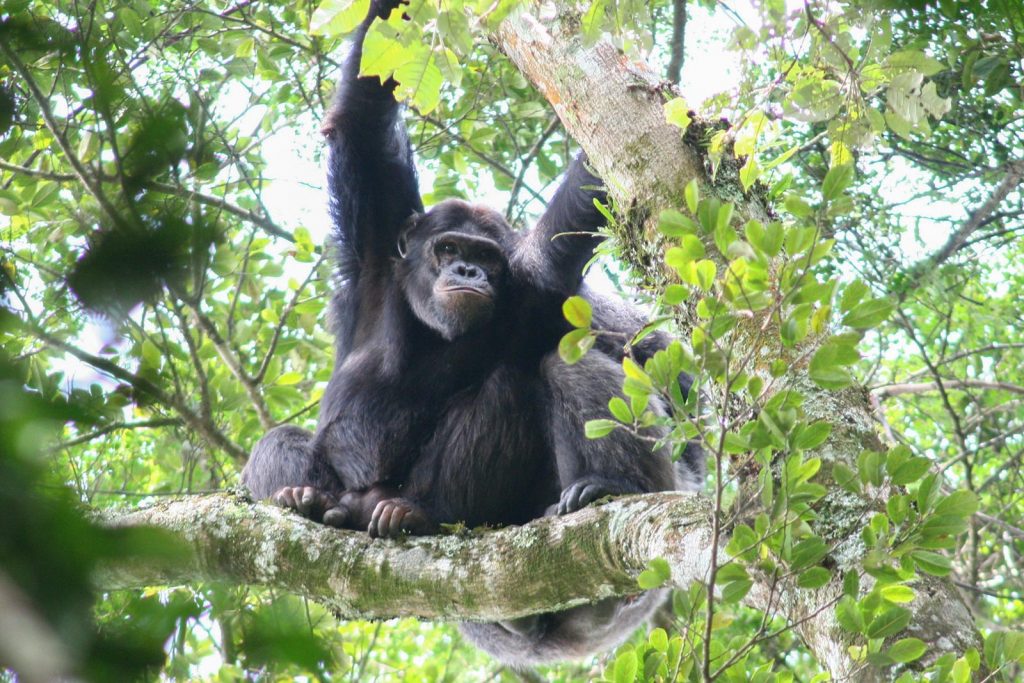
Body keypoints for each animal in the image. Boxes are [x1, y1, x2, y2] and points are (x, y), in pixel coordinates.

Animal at [240, 0, 704, 663]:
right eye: (450, 248)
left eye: (484, 257)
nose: (467, 272)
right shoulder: (374, 242)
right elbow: (362, 117)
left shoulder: (530, 291)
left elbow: (567, 245)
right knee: (278, 442)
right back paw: (306, 500)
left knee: (547, 374)